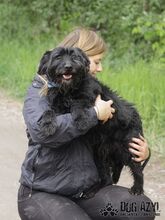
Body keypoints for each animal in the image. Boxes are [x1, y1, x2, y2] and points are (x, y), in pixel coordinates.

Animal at [36, 47, 150, 197]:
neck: (68, 90)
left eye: (75, 57)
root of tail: (136, 115)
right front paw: (47, 125)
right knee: (108, 177)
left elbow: (79, 104)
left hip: (129, 147)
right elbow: (48, 111)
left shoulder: (89, 97)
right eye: (58, 57)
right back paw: (93, 189)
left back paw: (137, 188)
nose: (68, 67)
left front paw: (82, 120)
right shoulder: (57, 107)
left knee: (138, 171)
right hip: (100, 154)